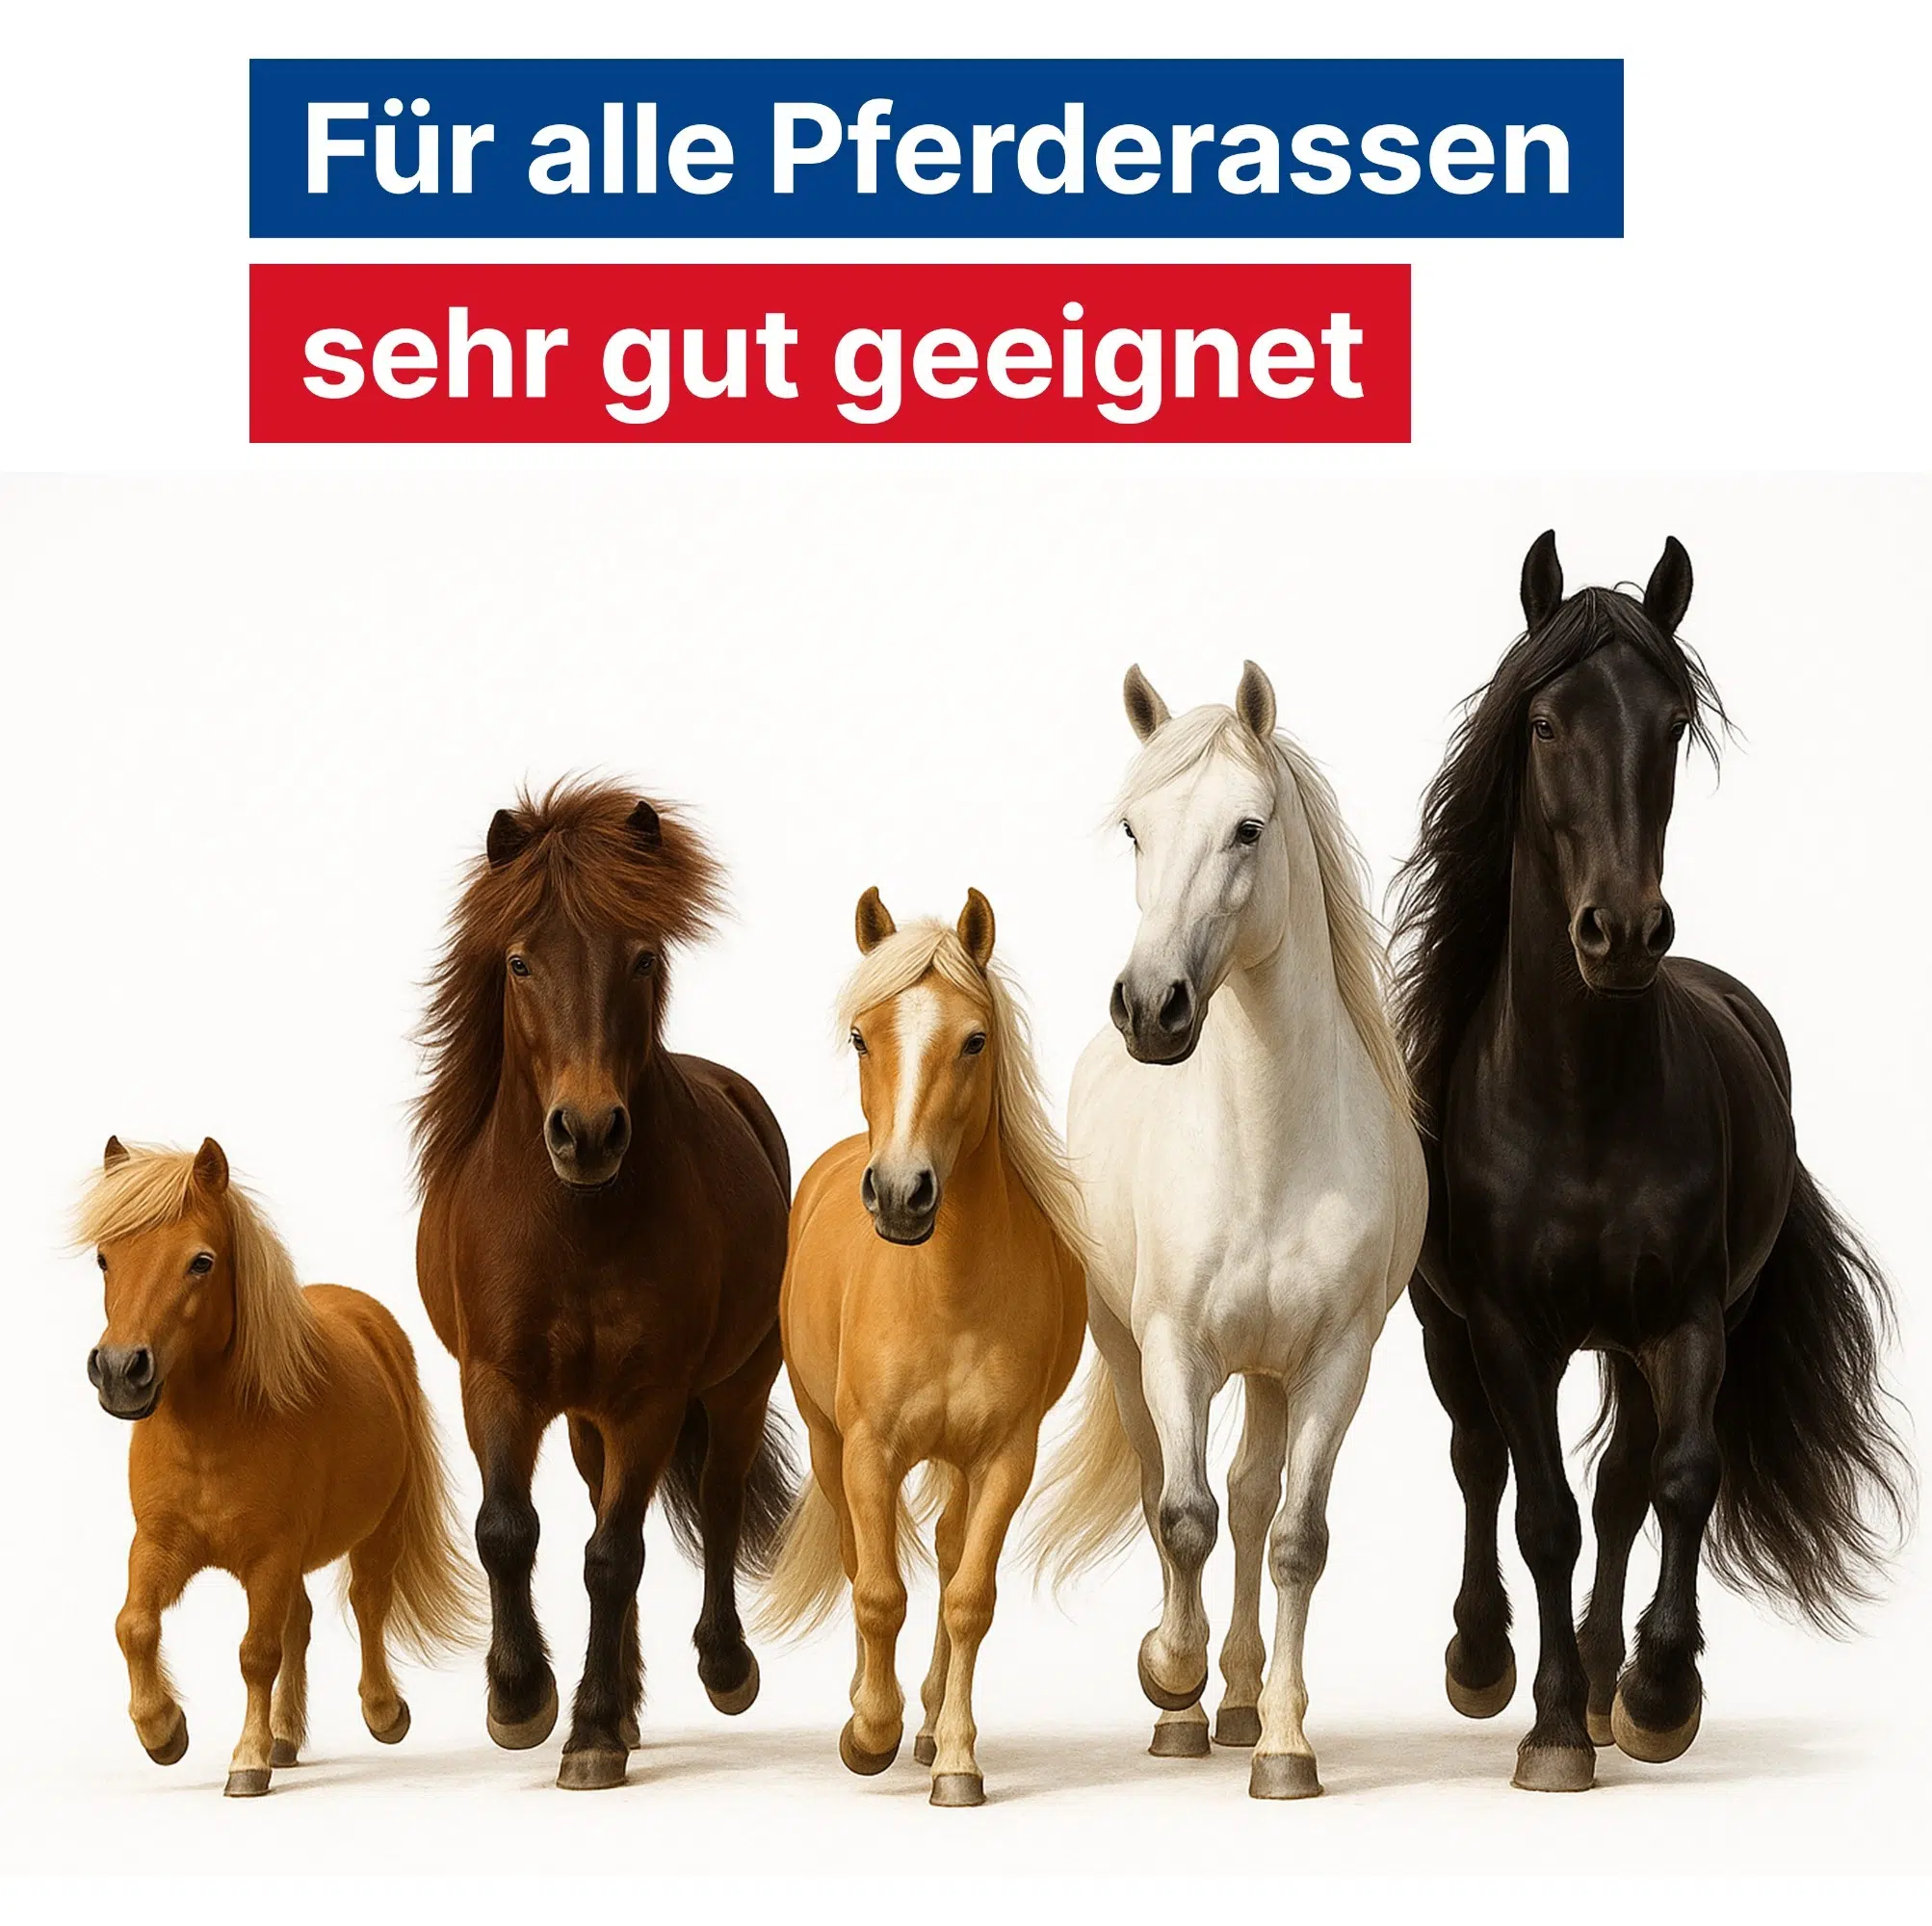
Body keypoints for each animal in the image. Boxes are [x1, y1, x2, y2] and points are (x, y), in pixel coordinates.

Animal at [78, 1136, 476, 1796]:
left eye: (201, 1262)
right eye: (104, 1259)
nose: (118, 1370)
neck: (211, 1435)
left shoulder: (270, 1555)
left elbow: (257, 1653)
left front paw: (246, 1761)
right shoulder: (158, 1543)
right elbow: (133, 1625)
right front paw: (164, 1731)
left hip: (380, 1529)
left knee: (366, 1603)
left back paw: (382, 1711)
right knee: (303, 1623)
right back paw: (286, 1737)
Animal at [414, 777, 795, 1791]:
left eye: (643, 958)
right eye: (518, 963)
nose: (587, 1132)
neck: (574, 1225)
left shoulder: (649, 1397)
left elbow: (614, 1557)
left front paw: (585, 1731)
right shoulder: (496, 1382)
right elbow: (508, 1530)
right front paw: (522, 1701)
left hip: (737, 1384)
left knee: (719, 1498)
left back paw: (719, 1667)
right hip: (585, 1416)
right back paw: (620, 1698)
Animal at [758, 888, 1087, 1806]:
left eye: (974, 1040)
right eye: (861, 1037)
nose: (902, 1194)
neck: (947, 1294)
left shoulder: (1007, 1455)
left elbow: (968, 1597)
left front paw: (956, 1761)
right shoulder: (869, 1450)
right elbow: (877, 1592)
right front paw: (868, 1731)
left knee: (945, 1553)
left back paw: (935, 1718)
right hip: (828, 1440)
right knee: (856, 1555)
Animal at [1029, 662, 1426, 1799]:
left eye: (1247, 828)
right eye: (1133, 829)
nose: (1148, 1007)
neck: (1267, 1144)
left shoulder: (1335, 1360)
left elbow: (1292, 1535)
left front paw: (1285, 1745)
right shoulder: (1175, 1348)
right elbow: (1181, 1515)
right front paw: (1168, 1673)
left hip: (1270, 1370)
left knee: (1251, 1500)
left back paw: (1244, 1702)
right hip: (1128, 1351)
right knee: (1174, 1496)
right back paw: (1188, 1706)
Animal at [1392, 532, 1911, 1792]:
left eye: (1671, 722)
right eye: (1542, 723)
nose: (1620, 933)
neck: (1578, 1100)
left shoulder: (1684, 1317)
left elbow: (1674, 1480)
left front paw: (1655, 1692)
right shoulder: (1505, 1328)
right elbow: (1539, 1512)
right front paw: (1549, 1729)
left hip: (1635, 1340)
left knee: (1626, 1482)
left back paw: (1602, 1667)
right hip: (1445, 1329)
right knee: (1478, 1461)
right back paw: (1481, 1657)